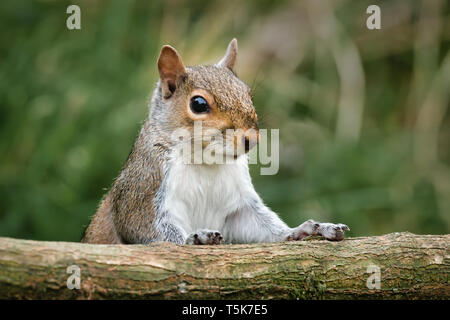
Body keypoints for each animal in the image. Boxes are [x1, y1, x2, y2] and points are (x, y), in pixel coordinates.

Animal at [81, 39, 350, 245]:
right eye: (198, 104)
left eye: (248, 94)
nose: (251, 140)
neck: (205, 161)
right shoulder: (144, 188)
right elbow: (145, 228)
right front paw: (193, 238)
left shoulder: (239, 205)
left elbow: (259, 224)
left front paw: (304, 229)